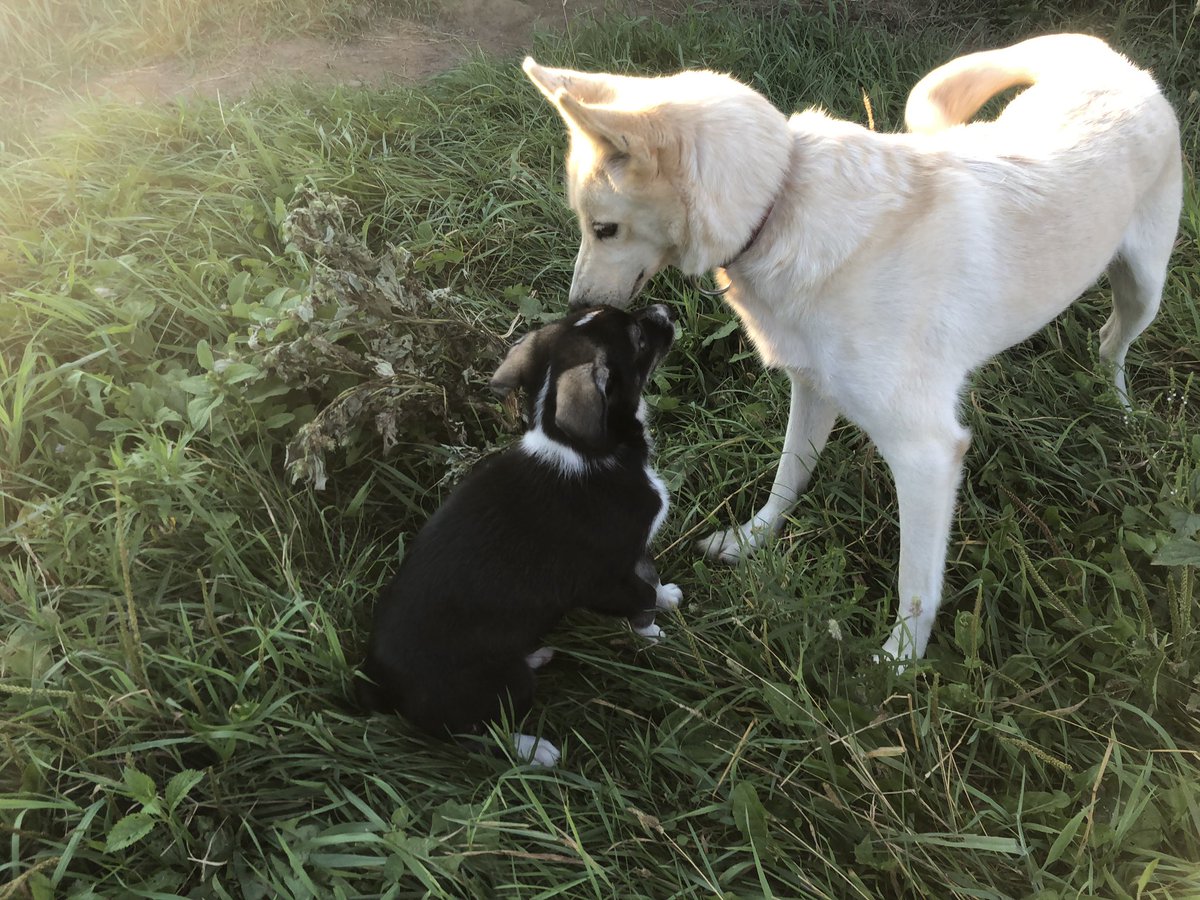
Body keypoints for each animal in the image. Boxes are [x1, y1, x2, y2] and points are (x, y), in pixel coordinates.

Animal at [355, 304, 681, 768]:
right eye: (637, 337)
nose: (665, 309)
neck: (583, 450)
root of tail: (379, 685)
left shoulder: (633, 553)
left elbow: (650, 578)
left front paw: (668, 598)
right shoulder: (603, 581)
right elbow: (641, 596)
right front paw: (652, 636)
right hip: (499, 687)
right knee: (475, 735)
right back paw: (534, 750)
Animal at [525, 35, 1180, 667]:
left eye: (603, 228)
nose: (577, 309)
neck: (782, 200)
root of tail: (1108, 61)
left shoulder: (926, 454)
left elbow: (915, 584)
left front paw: (898, 666)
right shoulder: (813, 389)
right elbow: (789, 474)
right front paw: (751, 540)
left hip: (1144, 288)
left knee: (1110, 343)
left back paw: (1121, 412)